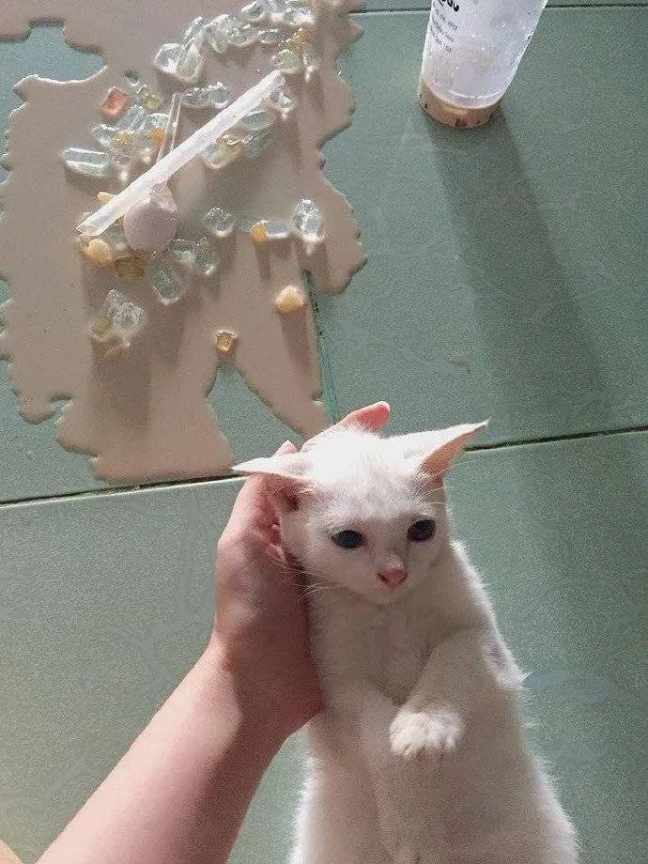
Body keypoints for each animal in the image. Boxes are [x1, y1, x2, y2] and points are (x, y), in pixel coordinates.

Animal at [236, 420, 578, 864]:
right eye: (348, 539)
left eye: (421, 529)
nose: (394, 574)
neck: (390, 610)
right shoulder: (335, 684)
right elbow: (379, 733)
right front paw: (414, 831)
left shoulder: (484, 644)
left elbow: (448, 661)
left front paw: (423, 727)